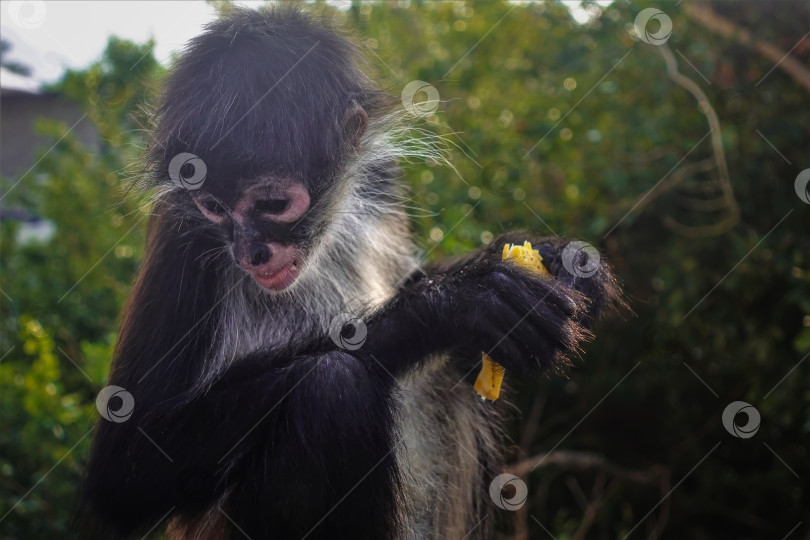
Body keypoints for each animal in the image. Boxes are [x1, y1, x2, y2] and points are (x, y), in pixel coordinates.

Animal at [83, 5, 620, 540]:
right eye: (212, 207)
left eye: (272, 204)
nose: (249, 253)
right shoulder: (182, 235)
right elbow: (121, 474)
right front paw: (450, 307)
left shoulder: (381, 178)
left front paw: (555, 258)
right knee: (329, 386)